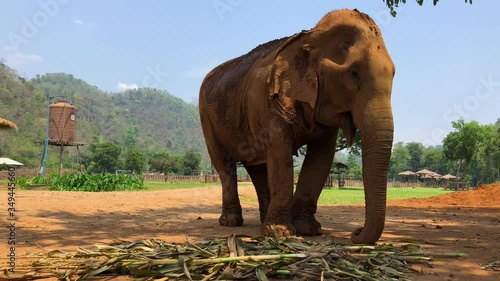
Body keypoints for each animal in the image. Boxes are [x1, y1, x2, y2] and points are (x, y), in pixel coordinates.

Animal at [199, 8, 394, 243]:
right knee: (224, 164)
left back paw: (264, 220)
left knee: (256, 165)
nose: (355, 232)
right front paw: (280, 233)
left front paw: (307, 229)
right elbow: (280, 152)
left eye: (394, 74)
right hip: (206, 117)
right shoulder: (266, 102)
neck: (309, 36)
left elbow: (321, 156)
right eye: (353, 73)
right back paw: (232, 222)